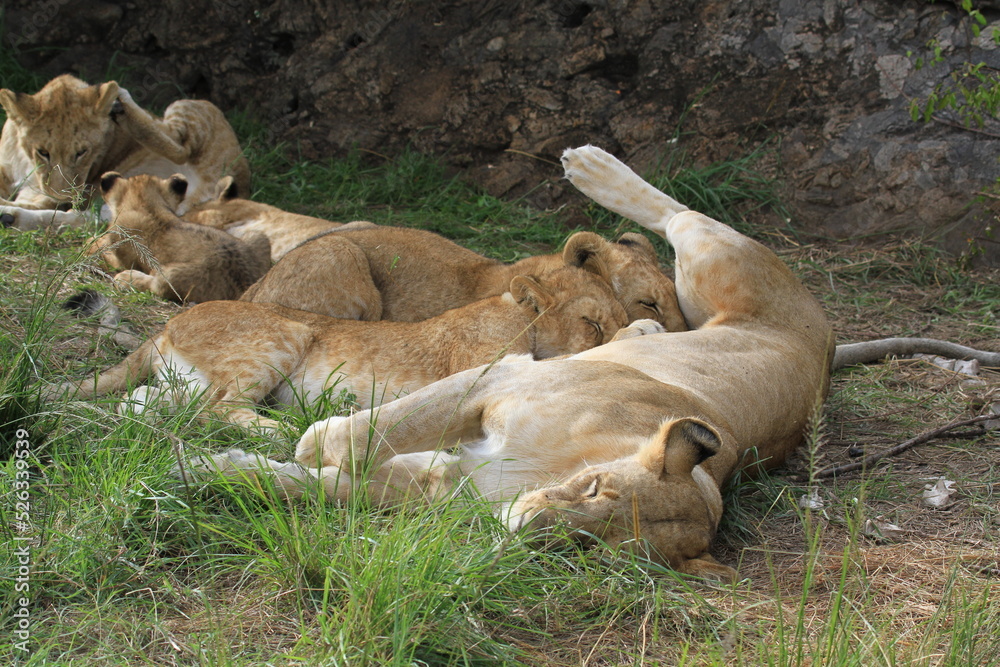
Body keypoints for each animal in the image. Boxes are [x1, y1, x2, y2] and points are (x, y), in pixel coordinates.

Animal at [0, 74, 249, 230]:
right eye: (43, 152)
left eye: (82, 152)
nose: (64, 197)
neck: (25, 160)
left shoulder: (44, 193)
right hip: (114, 208)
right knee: (75, 219)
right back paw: (9, 218)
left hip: (195, 105)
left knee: (180, 147)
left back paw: (121, 99)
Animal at [46, 265, 628, 434]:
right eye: (593, 324)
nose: (624, 338)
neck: (520, 315)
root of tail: (167, 326)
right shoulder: (479, 367)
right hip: (285, 334)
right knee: (221, 411)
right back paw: (290, 427)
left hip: (178, 386)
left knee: (141, 405)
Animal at [91, 171, 271, 303]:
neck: (148, 205)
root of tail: (245, 284)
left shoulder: (120, 249)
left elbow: (104, 252)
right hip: (258, 237)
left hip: (171, 274)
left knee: (156, 284)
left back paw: (126, 278)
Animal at [190, 145, 836, 581]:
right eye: (596, 489)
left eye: (591, 549)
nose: (526, 532)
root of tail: (828, 345)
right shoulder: (502, 375)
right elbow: (361, 437)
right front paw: (302, 441)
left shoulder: (441, 481)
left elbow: (315, 487)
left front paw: (211, 468)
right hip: (716, 266)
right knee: (679, 216)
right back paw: (591, 166)